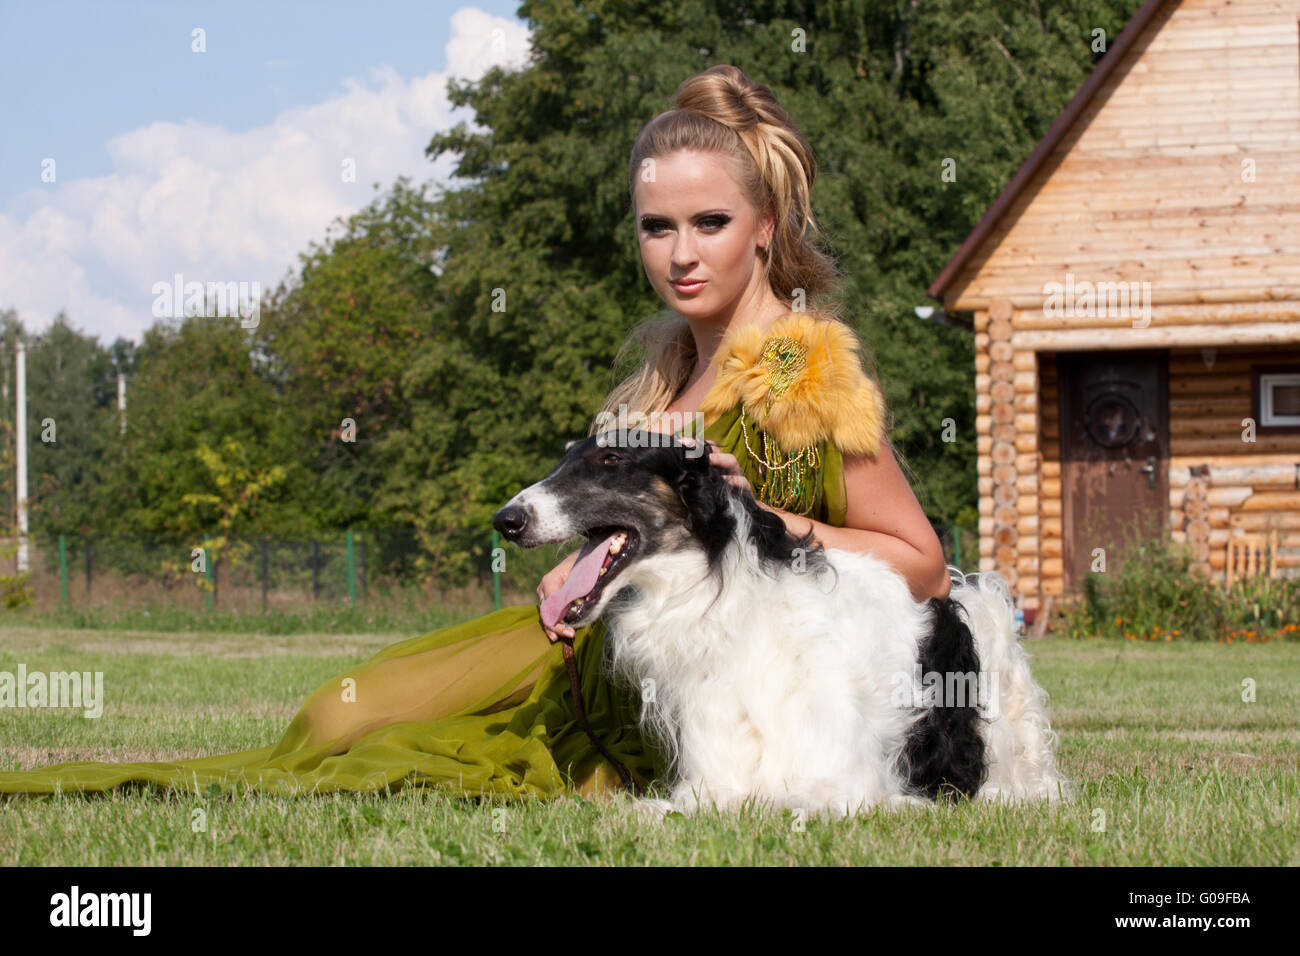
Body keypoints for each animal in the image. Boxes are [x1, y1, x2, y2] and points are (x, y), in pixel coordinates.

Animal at [491, 434, 1060, 816]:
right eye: (563, 458)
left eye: (611, 460)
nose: (506, 520)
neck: (733, 601)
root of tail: (970, 593)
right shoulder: (713, 779)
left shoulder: (841, 783)